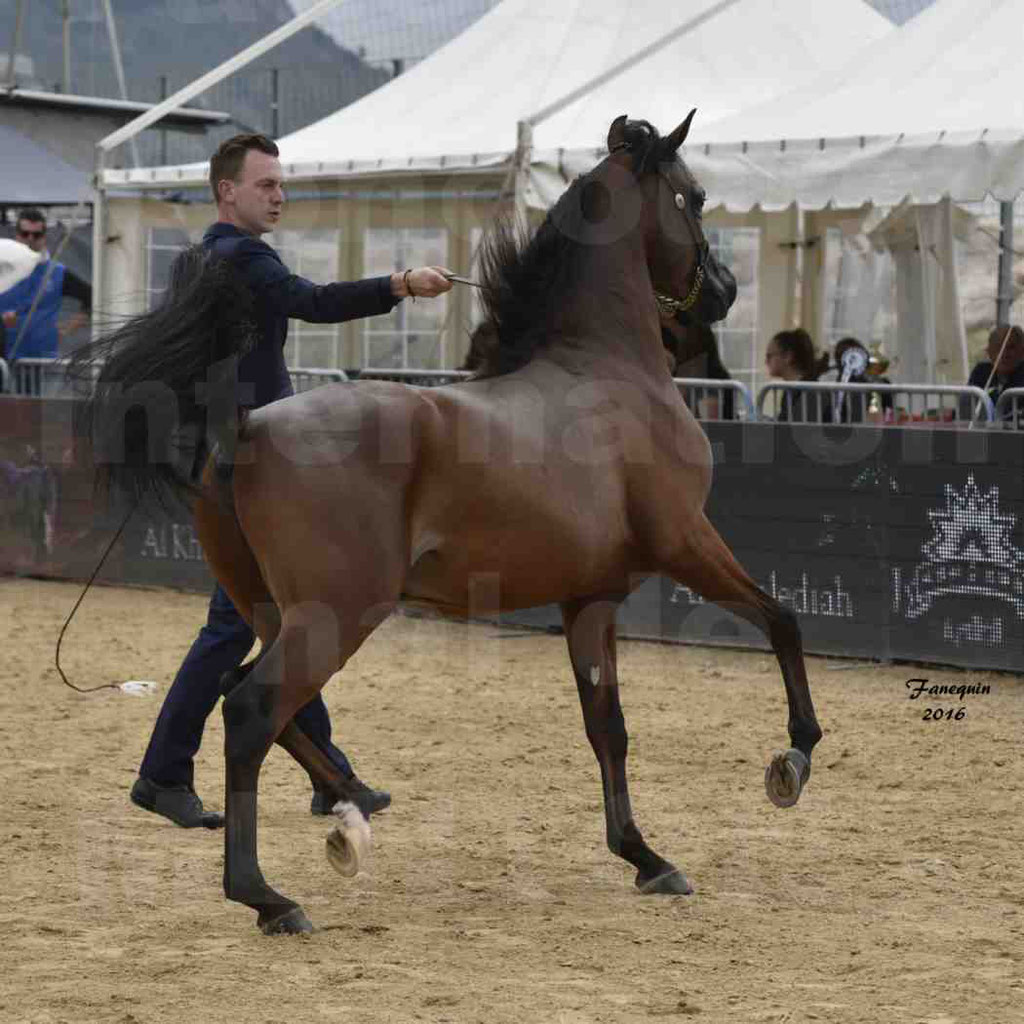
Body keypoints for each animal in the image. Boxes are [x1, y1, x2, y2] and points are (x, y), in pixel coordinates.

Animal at [74, 112, 823, 937]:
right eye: (693, 196)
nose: (722, 291)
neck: (606, 371)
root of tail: (246, 427)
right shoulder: (686, 541)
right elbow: (782, 620)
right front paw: (793, 760)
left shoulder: (591, 597)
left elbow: (608, 727)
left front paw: (646, 857)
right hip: (338, 613)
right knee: (250, 711)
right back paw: (269, 895)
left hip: (271, 610)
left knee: (250, 694)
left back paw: (348, 816)